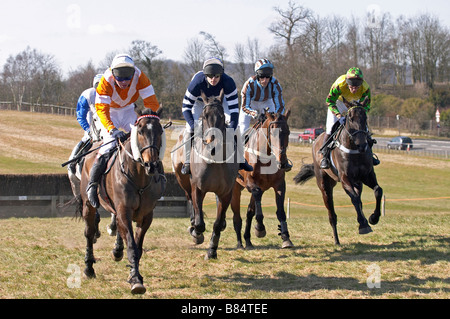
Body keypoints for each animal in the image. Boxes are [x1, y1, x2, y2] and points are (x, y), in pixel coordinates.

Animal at [74, 109, 166, 296]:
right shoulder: (124, 209)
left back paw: (117, 251)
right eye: (140, 131)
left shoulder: (146, 215)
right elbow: (131, 244)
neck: (139, 177)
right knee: (89, 233)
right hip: (88, 205)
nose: (152, 165)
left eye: (160, 131)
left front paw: (133, 273)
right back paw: (89, 268)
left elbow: (137, 246)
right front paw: (136, 280)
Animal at [171, 89, 239, 260]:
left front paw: (212, 250)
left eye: (221, 117)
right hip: (182, 180)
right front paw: (196, 233)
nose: (212, 144)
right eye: (204, 116)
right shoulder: (197, 188)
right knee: (190, 200)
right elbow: (200, 222)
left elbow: (217, 222)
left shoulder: (226, 193)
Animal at [230, 110, 294, 250]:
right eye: (272, 132)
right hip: (235, 188)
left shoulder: (279, 185)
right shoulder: (251, 183)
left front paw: (286, 237)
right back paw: (239, 243)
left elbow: (280, 211)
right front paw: (260, 228)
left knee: (249, 212)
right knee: (237, 216)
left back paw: (248, 241)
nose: (282, 162)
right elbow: (256, 203)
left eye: (288, 132)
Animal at [296, 100, 384, 245]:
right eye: (350, 118)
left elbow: (377, 190)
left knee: (359, 199)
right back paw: (337, 240)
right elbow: (354, 198)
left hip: (357, 182)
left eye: (365, 118)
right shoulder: (345, 178)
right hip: (325, 185)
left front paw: (373, 218)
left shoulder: (367, 175)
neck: (354, 149)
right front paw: (363, 224)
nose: (362, 144)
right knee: (332, 214)